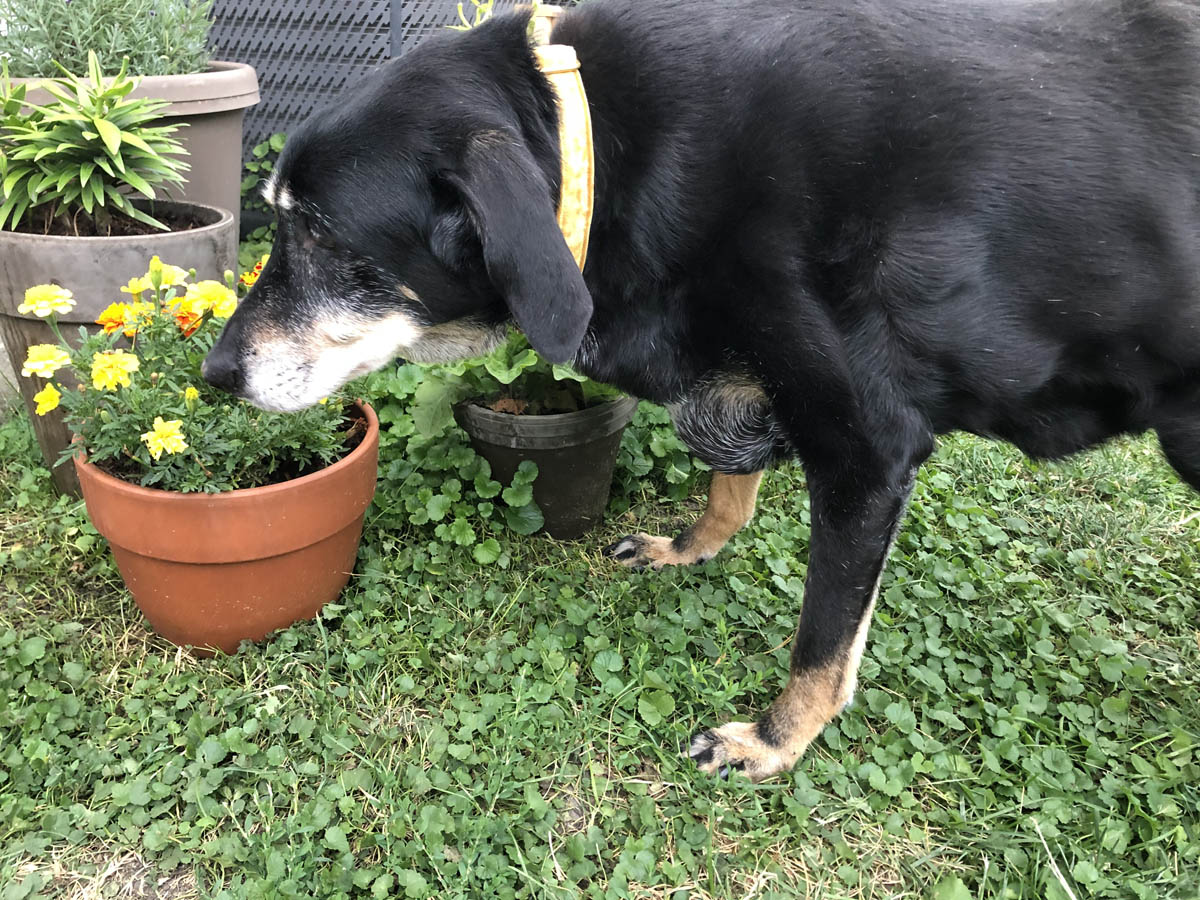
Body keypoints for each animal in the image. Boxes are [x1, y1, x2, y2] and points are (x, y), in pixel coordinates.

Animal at [206, 0, 1200, 782]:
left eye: (324, 238)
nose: (215, 374)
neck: (594, 139)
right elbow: (731, 482)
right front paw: (692, 546)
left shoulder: (868, 450)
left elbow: (823, 638)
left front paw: (774, 741)